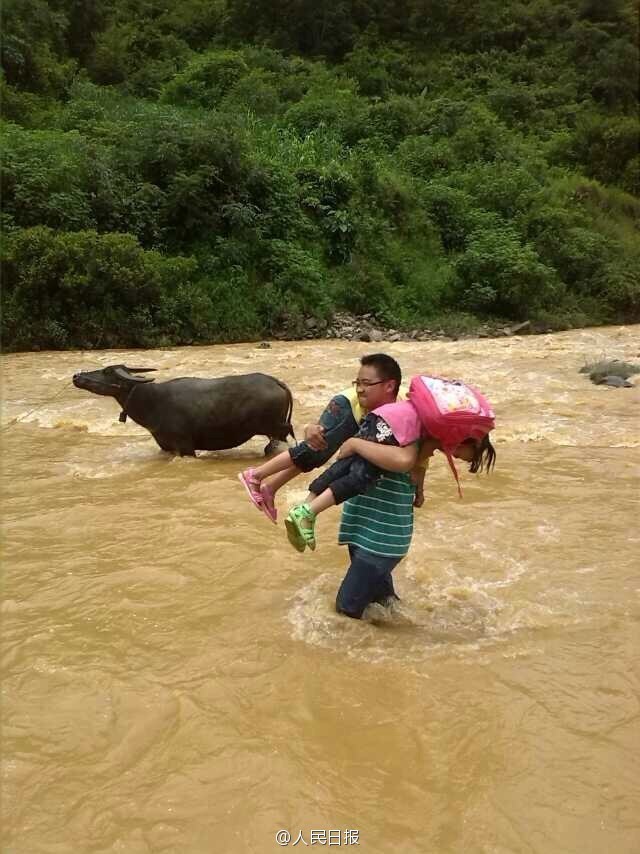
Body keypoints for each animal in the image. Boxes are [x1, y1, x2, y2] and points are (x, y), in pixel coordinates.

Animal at [72, 368, 296, 462]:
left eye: (107, 372)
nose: (77, 376)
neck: (154, 402)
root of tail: (277, 382)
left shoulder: (185, 446)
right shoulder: (165, 446)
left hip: (276, 430)